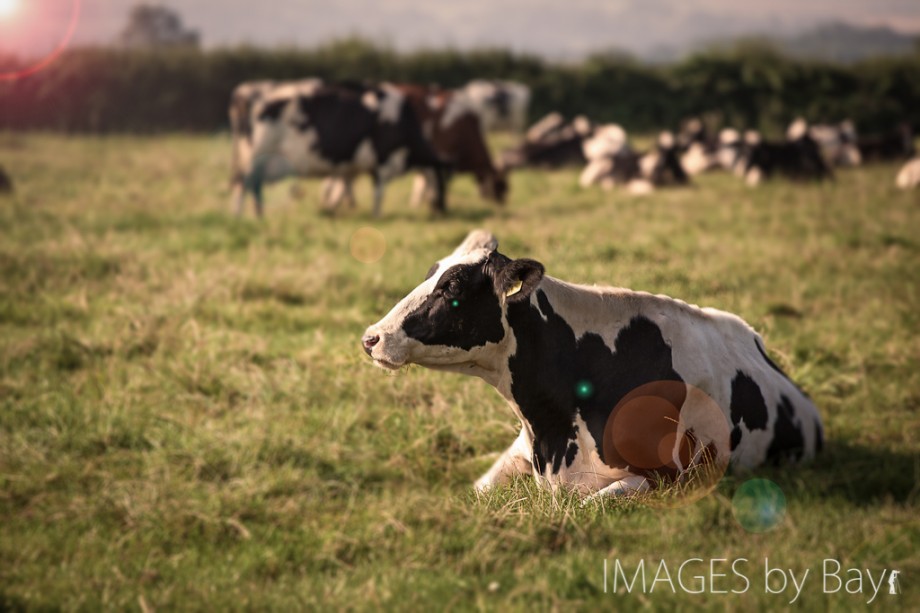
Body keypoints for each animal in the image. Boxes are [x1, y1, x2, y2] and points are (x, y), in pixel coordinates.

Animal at [362, 232, 824, 500]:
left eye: (454, 285)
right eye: (432, 272)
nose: (371, 337)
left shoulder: (665, 477)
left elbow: (592, 502)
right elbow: (474, 494)